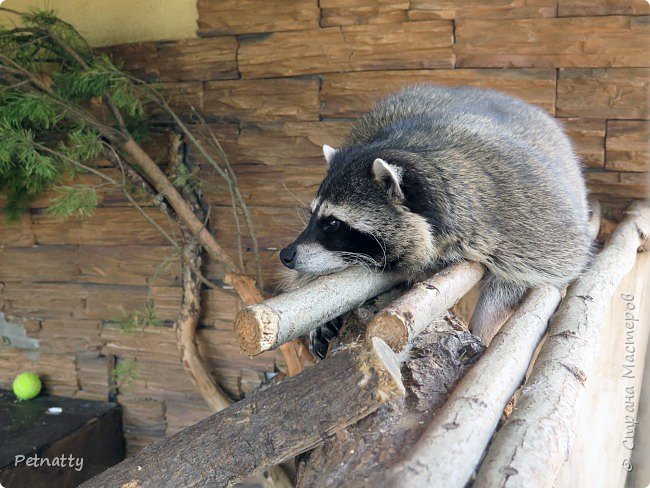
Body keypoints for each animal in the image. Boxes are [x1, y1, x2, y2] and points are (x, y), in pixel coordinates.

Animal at [276, 86, 588, 352]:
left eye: (333, 223)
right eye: (313, 215)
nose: (286, 255)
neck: (410, 149)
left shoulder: (525, 217)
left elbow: (531, 274)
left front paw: (484, 321)